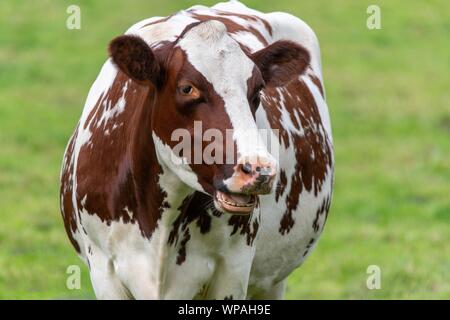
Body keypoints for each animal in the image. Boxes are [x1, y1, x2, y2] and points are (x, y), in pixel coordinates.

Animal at [59, 0, 334, 300]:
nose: (258, 170)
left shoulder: (233, 269)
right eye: (187, 88)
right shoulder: (103, 269)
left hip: (272, 280)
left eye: (257, 91)